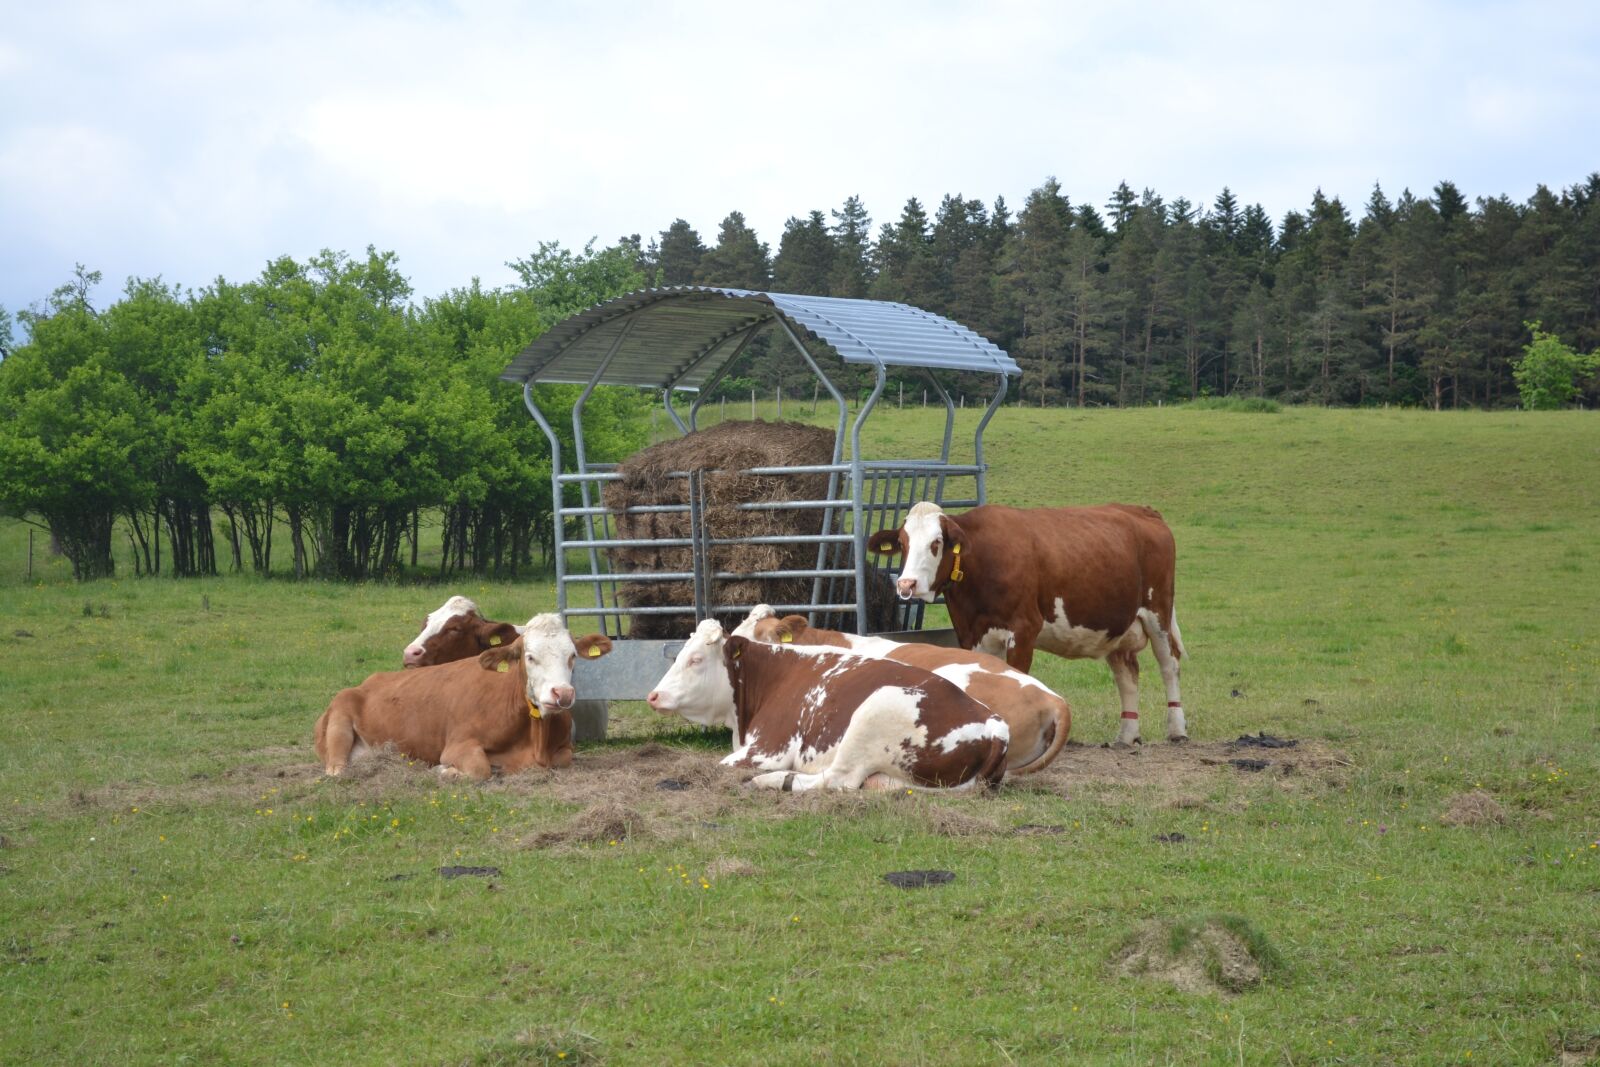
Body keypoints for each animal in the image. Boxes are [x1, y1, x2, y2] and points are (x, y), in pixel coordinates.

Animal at [315, 614, 613, 779]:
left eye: (572, 656)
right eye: (529, 657)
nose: (562, 693)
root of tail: (367, 682)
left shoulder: (564, 749)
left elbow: (563, 759)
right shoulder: (458, 744)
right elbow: (480, 770)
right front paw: (444, 771)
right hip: (340, 721)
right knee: (337, 770)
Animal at [645, 619, 1009, 792]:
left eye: (695, 659)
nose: (654, 695)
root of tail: (994, 724)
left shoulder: (768, 750)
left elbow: (720, 765)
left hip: (875, 711)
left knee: (837, 779)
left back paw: (774, 781)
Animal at [868, 501, 1187, 747]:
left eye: (936, 543)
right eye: (903, 543)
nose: (906, 584)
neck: (982, 560)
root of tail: (1142, 510)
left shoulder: (1023, 630)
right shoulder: (971, 634)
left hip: (1158, 611)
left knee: (1169, 665)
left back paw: (1177, 729)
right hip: (1117, 625)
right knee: (1127, 674)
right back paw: (1127, 734)